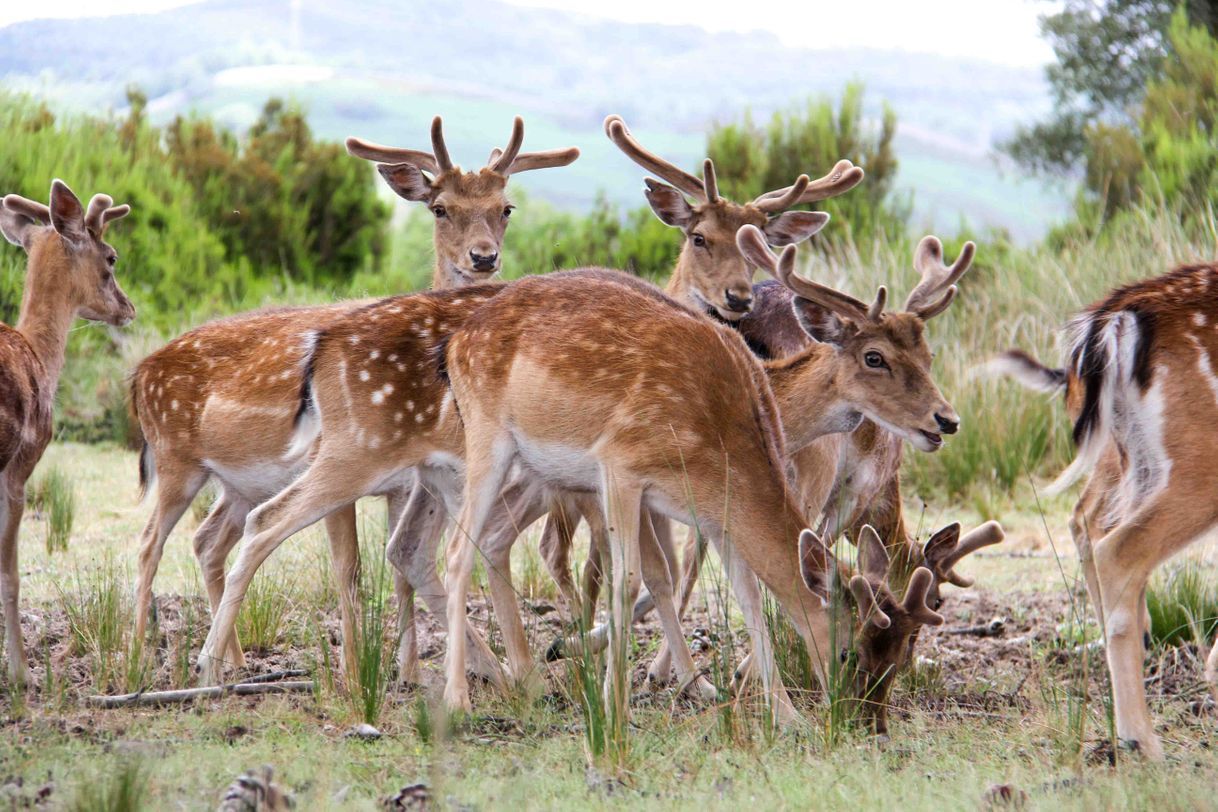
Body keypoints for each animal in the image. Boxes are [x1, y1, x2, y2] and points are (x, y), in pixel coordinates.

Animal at [0, 181, 133, 681]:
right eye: (111, 257)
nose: (129, 308)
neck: (41, 355)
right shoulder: (20, 466)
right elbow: (10, 573)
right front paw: (21, 672)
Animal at [130, 115, 577, 686]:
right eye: (439, 207)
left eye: (506, 207)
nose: (483, 257)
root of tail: (138, 375)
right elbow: (354, 566)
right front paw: (356, 671)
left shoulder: (406, 482)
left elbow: (403, 563)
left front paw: (409, 669)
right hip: (177, 463)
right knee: (150, 544)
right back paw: (140, 654)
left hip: (235, 485)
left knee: (208, 541)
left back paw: (233, 659)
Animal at [443, 228, 954, 730]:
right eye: (850, 652)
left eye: (902, 650)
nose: (867, 721)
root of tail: (458, 340)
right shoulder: (620, 468)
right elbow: (630, 581)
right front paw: (614, 707)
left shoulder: (714, 514)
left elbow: (746, 598)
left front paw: (786, 716)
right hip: (488, 438)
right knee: (456, 551)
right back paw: (461, 699)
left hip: (536, 471)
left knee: (490, 541)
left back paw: (524, 681)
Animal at [989, 266, 1218, 754]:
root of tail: (1113, 321)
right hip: (1197, 464)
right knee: (1116, 547)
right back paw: (1142, 742)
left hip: (1133, 456)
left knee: (1087, 520)